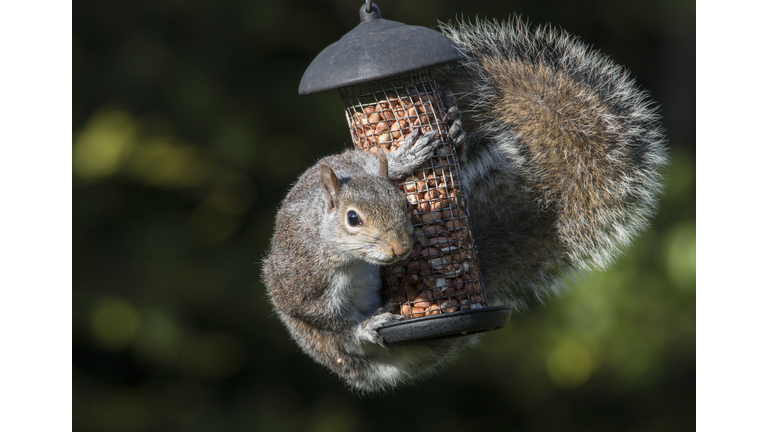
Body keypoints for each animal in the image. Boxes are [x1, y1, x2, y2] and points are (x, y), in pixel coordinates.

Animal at [262, 17, 668, 392]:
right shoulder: (304, 284)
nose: (400, 249)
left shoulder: (350, 162)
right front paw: (367, 324)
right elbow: (329, 320)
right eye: (352, 219)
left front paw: (405, 158)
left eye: (403, 205)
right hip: (329, 348)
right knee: (343, 343)